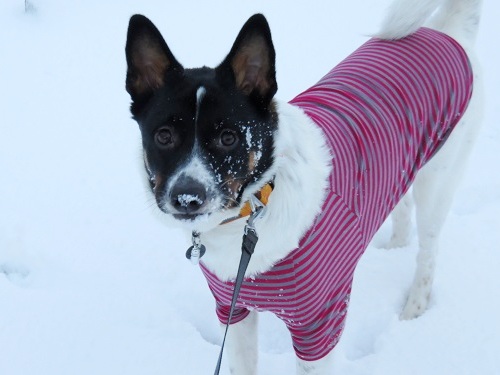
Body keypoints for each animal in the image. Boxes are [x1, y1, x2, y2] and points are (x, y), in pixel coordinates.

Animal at [126, 0, 484, 374]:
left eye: (229, 137)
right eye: (164, 136)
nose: (186, 197)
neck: (253, 213)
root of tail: (446, 31)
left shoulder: (320, 323)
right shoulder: (232, 309)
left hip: (439, 180)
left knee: (429, 249)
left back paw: (415, 305)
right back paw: (394, 245)